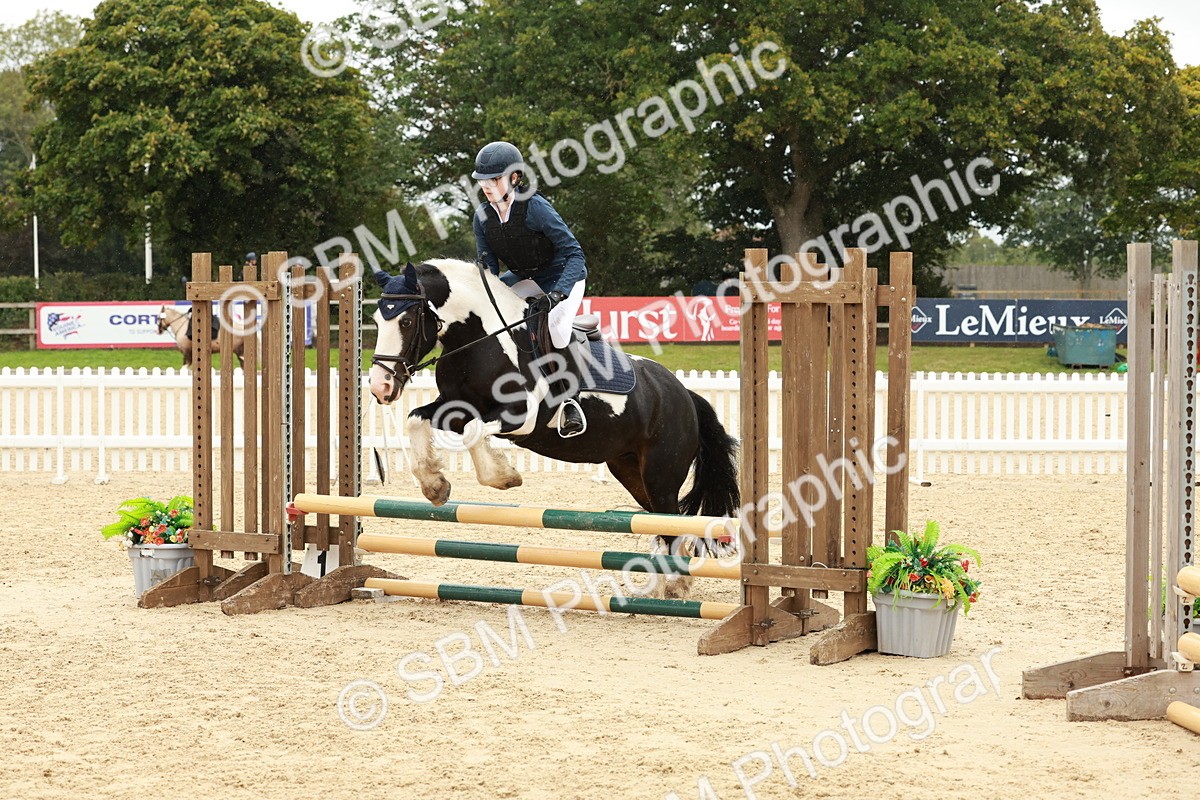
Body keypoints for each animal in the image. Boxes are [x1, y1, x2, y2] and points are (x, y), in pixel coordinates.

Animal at [366, 259, 740, 598]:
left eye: (407, 320)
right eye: (376, 320)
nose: (381, 386)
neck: (481, 340)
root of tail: (684, 394)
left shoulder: (523, 415)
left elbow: (474, 433)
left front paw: (504, 477)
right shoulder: (455, 407)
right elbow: (417, 419)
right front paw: (435, 486)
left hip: (661, 474)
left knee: (674, 522)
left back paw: (676, 585)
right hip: (632, 472)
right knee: (666, 522)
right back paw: (661, 586)